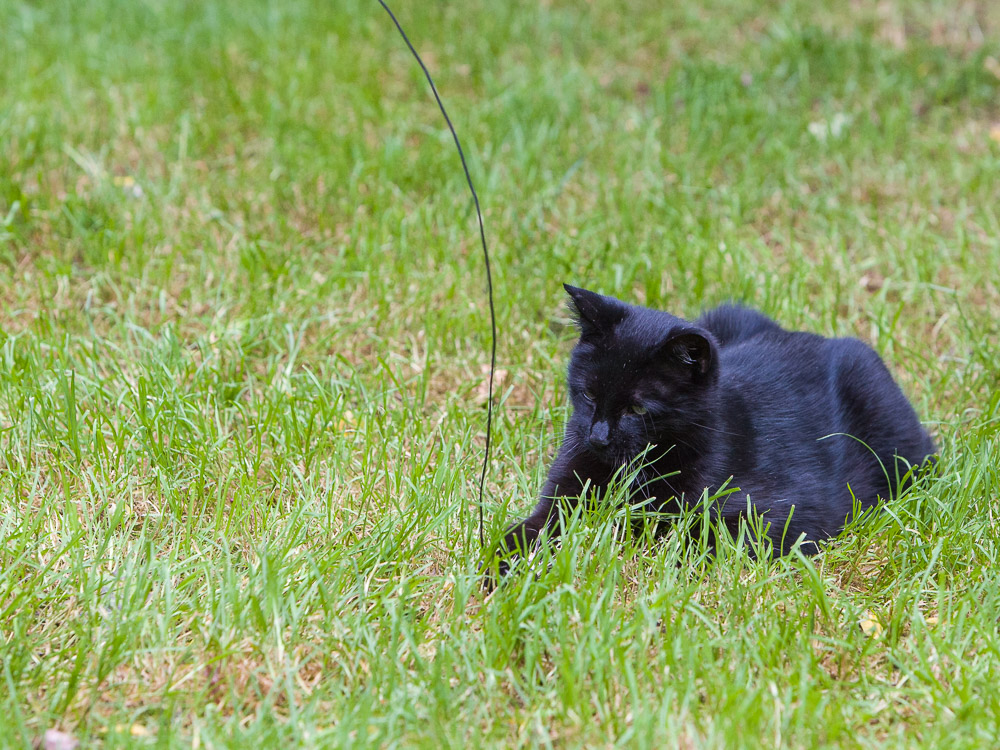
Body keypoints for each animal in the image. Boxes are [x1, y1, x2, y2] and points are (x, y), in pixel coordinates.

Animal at [492, 286, 936, 576]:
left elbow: (677, 539)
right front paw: (499, 563)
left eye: (637, 408)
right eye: (587, 393)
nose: (597, 437)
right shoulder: (564, 494)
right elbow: (534, 527)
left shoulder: (773, 515)